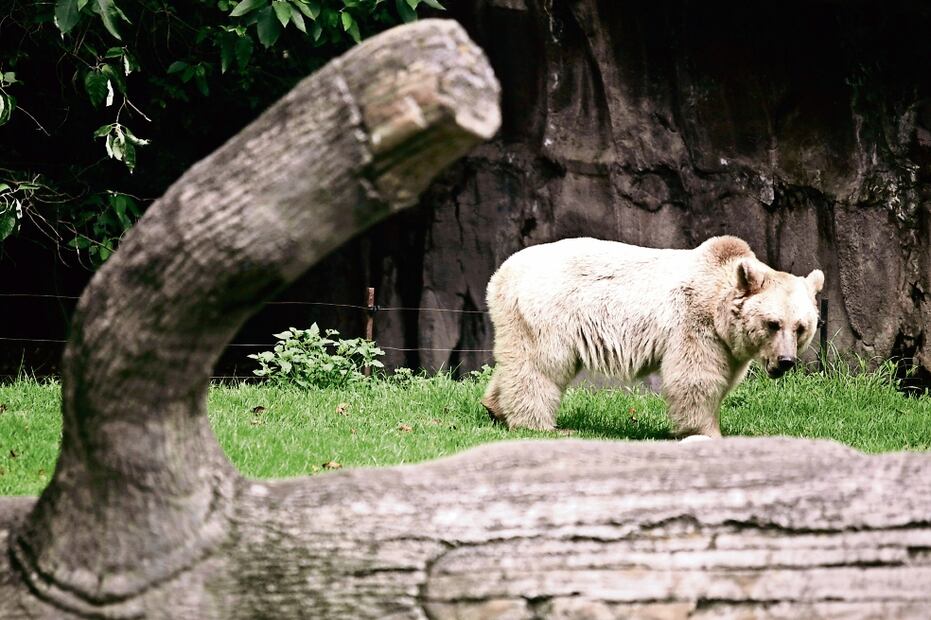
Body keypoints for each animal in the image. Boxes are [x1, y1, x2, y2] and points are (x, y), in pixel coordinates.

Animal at [481, 236, 824, 438]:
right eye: (773, 323)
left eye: (801, 327)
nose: (786, 361)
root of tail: (502, 275)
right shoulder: (695, 323)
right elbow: (695, 378)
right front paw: (707, 432)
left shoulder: (726, 342)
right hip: (549, 312)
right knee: (541, 367)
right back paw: (540, 425)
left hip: (517, 318)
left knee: (517, 361)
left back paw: (495, 407)